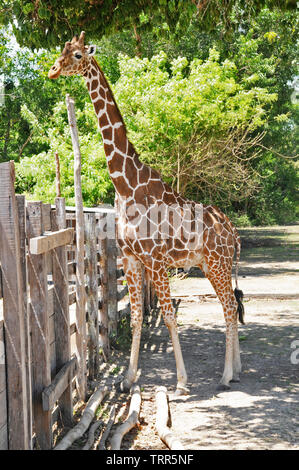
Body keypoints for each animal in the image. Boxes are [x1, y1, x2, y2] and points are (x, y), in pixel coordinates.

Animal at [49, 31, 246, 394]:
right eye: (62, 51)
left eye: (79, 54)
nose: (53, 70)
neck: (126, 186)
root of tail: (234, 233)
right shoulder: (131, 258)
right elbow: (138, 315)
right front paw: (127, 380)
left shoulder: (155, 260)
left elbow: (168, 315)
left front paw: (181, 382)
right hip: (212, 265)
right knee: (230, 306)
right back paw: (235, 371)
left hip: (217, 263)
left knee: (228, 307)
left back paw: (226, 375)